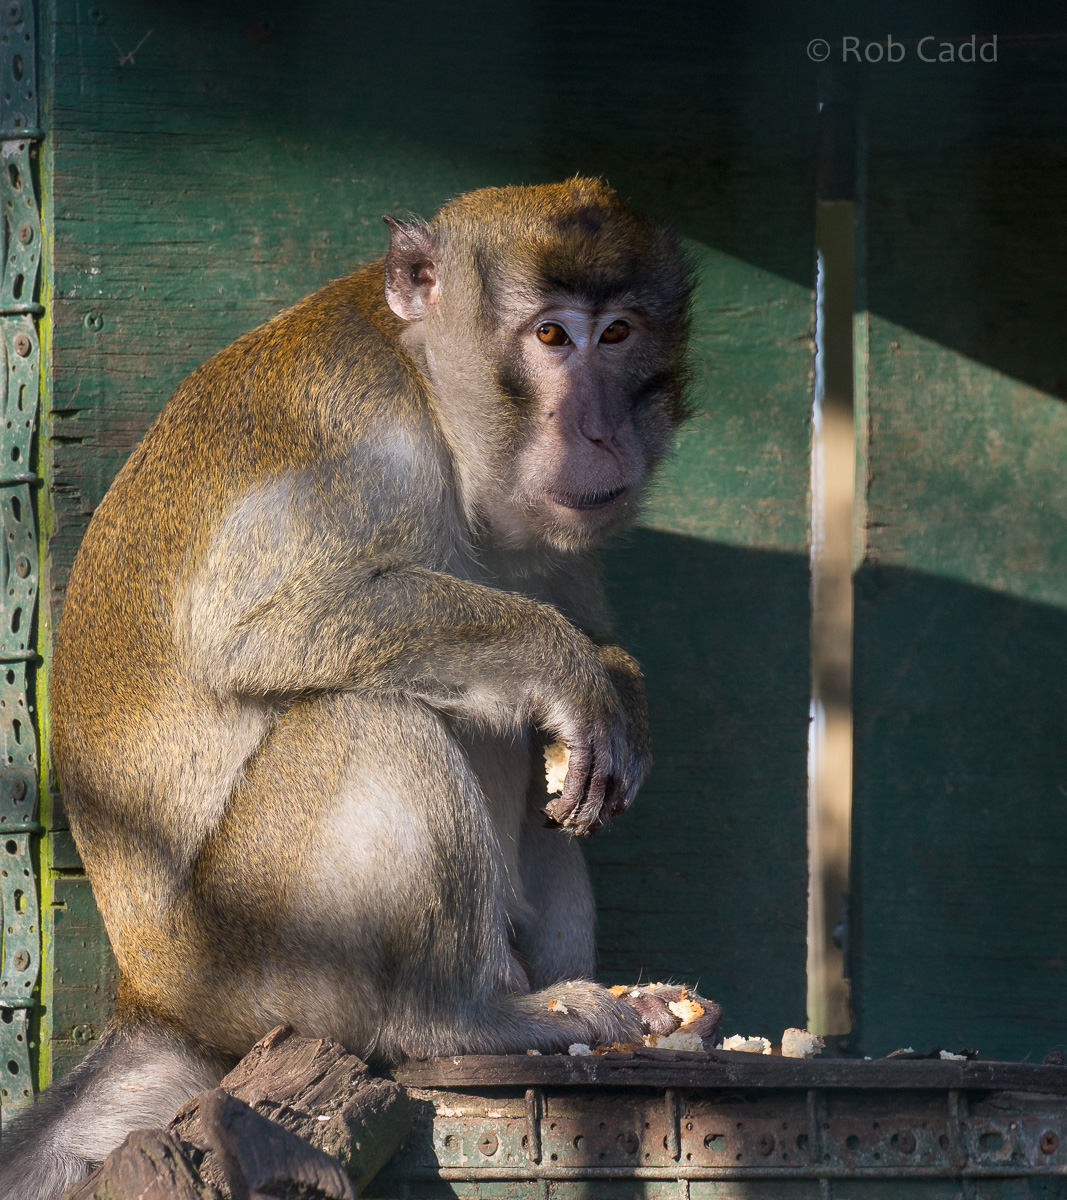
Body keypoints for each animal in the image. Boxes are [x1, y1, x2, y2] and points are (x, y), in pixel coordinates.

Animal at [0, 178, 694, 1200]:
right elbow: (255, 633)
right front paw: (568, 665)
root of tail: (155, 1002)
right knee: (369, 716)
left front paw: (618, 691)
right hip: (258, 963)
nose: (601, 429)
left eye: (618, 335)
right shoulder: (367, 445)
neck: (433, 392)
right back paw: (464, 1018)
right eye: (551, 337)